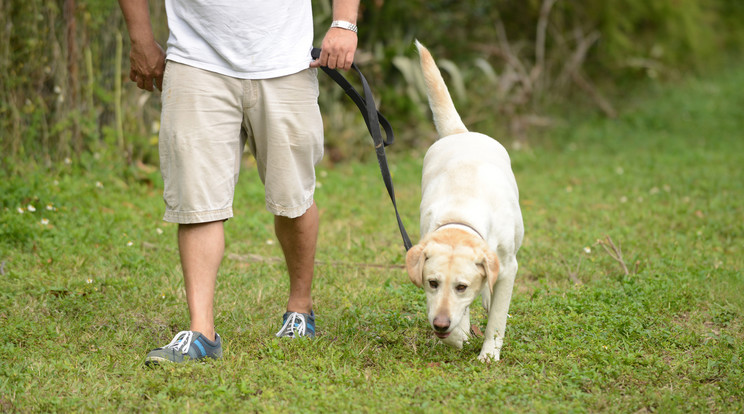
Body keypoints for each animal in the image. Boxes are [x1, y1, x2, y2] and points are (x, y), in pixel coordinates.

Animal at [406, 41, 524, 362]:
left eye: (461, 286)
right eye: (432, 283)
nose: (440, 324)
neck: (461, 217)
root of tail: (462, 133)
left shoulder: (508, 267)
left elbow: (497, 317)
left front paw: (488, 354)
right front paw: (457, 335)